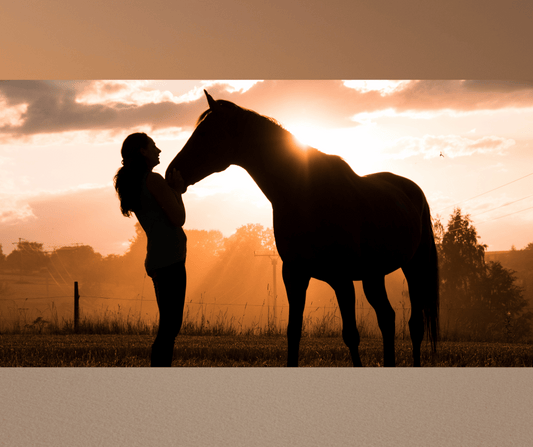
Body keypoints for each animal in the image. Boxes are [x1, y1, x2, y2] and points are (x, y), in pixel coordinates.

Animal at [168, 92, 438, 368]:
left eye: (204, 133)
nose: (170, 173)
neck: (306, 194)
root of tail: (413, 191)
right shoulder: (294, 274)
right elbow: (293, 331)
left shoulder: (341, 278)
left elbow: (351, 334)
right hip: (373, 275)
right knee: (387, 317)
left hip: (414, 267)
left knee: (414, 325)